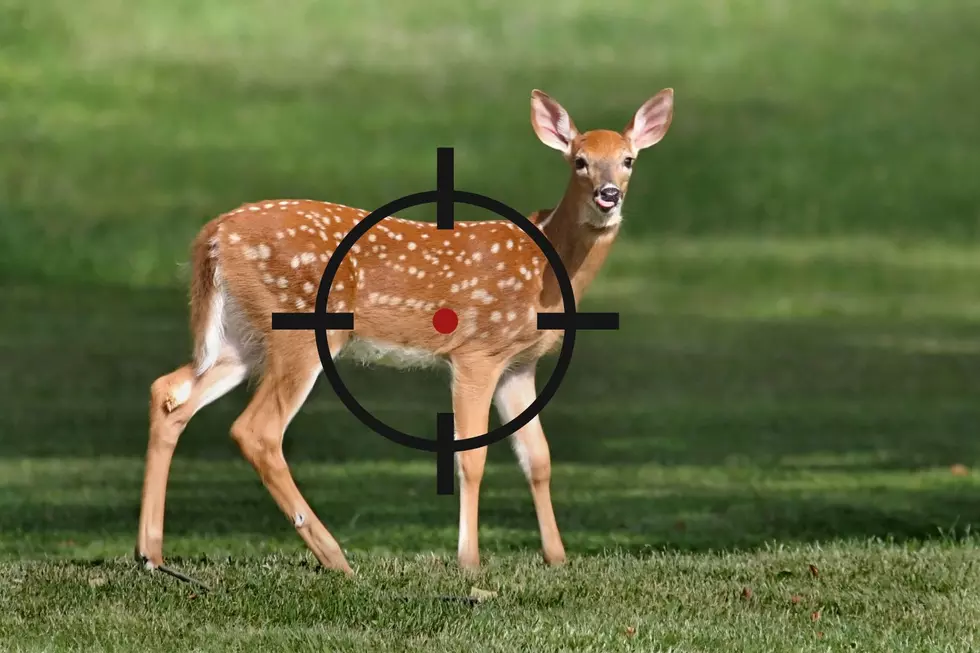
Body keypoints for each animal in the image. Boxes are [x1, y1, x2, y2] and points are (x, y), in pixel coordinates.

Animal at [135, 87, 674, 578]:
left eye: (627, 160)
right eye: (580, 162)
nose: (609, 195)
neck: (544, 267)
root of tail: (213, 235)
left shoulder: (519, 365)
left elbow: (537, 458)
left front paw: (557, 558)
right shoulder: (477, 352)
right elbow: (472, 456)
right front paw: (470, 563)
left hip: (241, 335)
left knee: (170, 392)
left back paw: (151, 554)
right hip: (298, 327)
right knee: (256, 429)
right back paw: (336, 558)